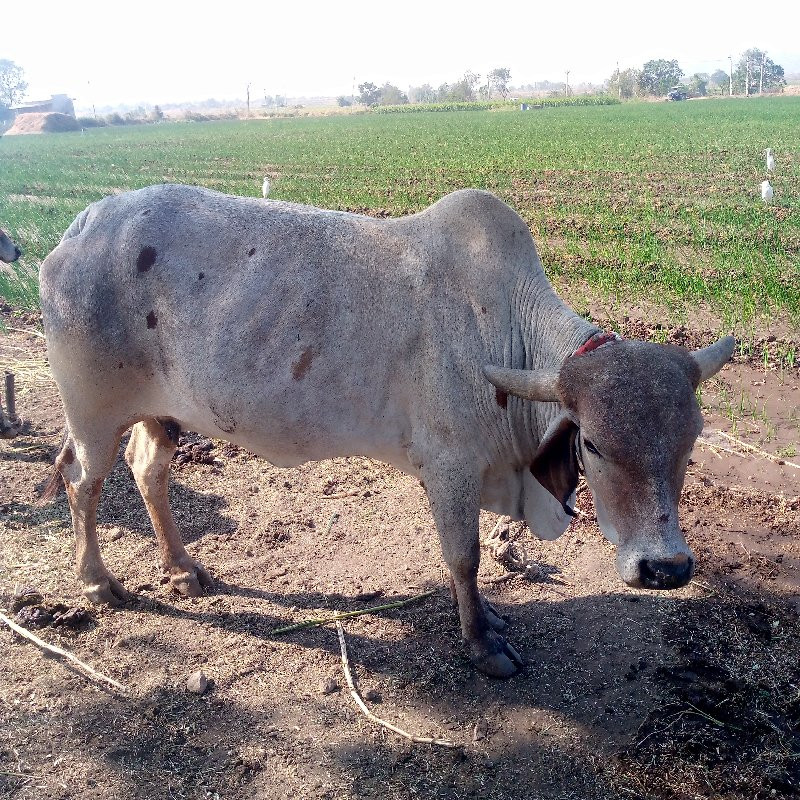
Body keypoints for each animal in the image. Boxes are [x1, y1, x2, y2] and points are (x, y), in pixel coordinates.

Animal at [42, 186, 732, 676]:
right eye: (591, 442)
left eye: (690, 444)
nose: (665, 567)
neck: (505, 325)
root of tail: (79, 229)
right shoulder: (450, 467)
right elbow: (464, 558)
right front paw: (481, 643)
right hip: (92, 415)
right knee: (83, 482)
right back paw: (97, 581)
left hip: (163, 417)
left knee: (147, 471)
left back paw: (183, 567)